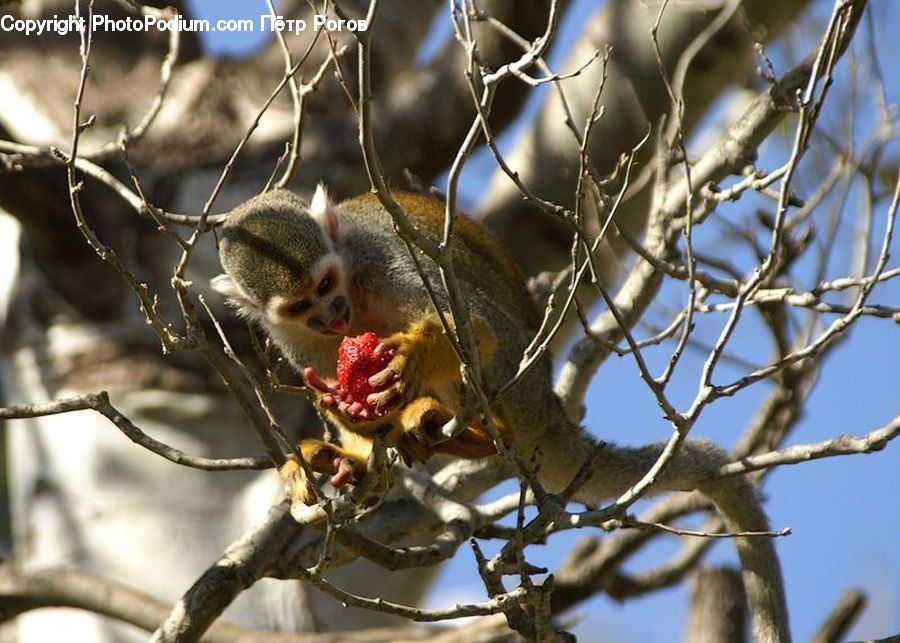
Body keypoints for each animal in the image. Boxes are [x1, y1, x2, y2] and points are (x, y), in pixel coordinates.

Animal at [212, 186, 790, 643]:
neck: (354, 284)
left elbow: (476, 326)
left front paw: (413, 357)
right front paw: (347, 451)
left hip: (522, 383)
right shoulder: (289, 336)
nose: (331, 314)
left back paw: (459, 428)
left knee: (490, 341)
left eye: (327, 284)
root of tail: (550, 411)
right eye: (300, 304)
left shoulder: (383, 256)